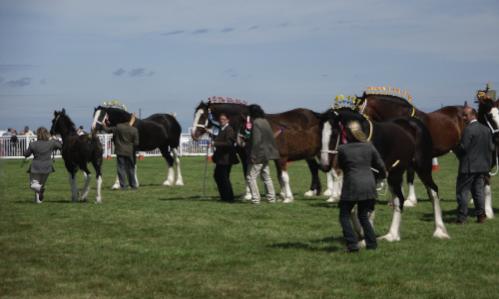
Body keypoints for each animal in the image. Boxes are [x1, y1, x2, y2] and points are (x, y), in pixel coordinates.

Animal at [190, 99, 324, 203]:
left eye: (203, 116)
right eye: (194, 115)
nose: (193, 135)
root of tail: (313, 114)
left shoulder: (248, 155)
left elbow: (248, 173)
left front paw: (249, 195)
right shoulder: (244, 155)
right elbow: (247, 173)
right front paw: (249, 194)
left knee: (314, 168)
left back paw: (313, 191)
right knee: (314, 168)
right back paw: (315, 191)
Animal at [322, 108, 452, 241]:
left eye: (334, 133)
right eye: (320, 132)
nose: (325, 165)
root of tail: (416, 122)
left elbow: (367, 209)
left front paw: (365, 238)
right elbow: (352, 207)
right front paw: (361, 233)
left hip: (422, 168)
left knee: (433, 191)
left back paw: (440, 231)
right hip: (395, 174)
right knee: (399, 199)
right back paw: (392, 235)